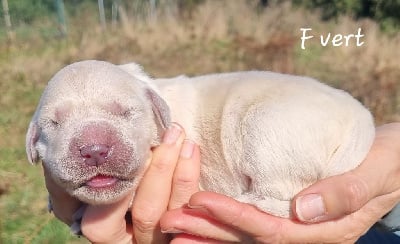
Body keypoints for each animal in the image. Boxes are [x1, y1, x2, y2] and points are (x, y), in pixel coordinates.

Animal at [26, 60, 374, 217]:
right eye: (54, 123)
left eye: (126, 112)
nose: (95, 150)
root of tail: (361, 120)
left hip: (266, 133)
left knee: (285, 196)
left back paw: (248, 200)